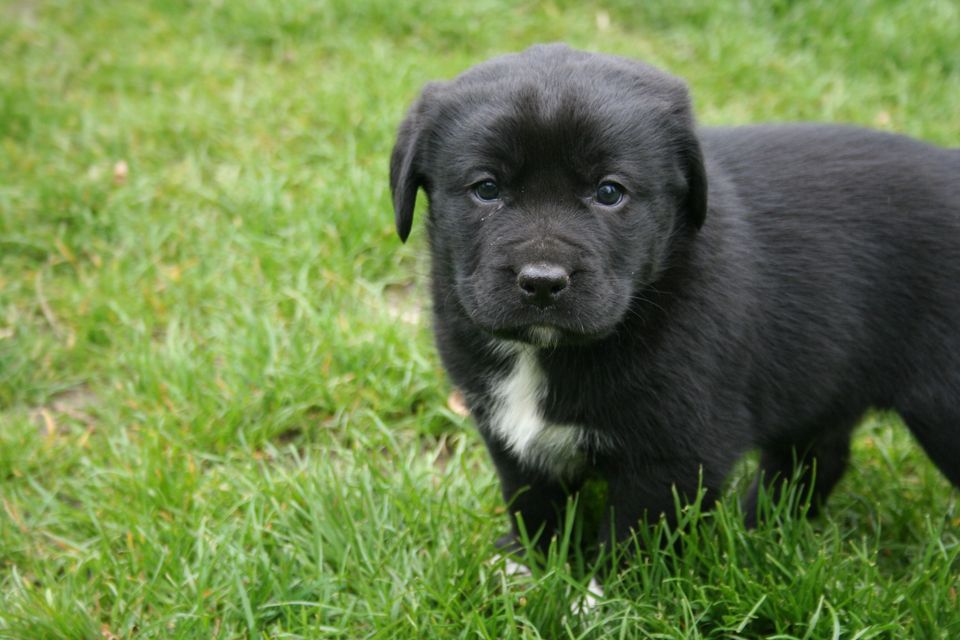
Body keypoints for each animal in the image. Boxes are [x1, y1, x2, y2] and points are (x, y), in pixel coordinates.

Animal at [388, 43, 960, 556]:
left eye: (610, 192)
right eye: (486, 189)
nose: (544, 282)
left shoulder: (674, 455)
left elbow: (631, 544)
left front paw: (599, 599)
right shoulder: (508, 433)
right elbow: (533, 503)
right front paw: (529, 569)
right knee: (818, 456)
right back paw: (759, 534)